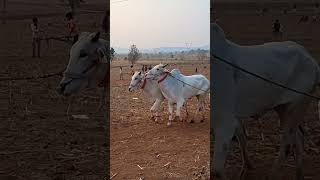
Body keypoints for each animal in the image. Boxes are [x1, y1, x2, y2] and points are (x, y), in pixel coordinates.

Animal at [210, 22, 320, 180]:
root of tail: (310, 59)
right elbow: (242, 137)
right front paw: (247, 167)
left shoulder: (225, 122)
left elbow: (216, 170)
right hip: (284, 109)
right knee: (297, 139)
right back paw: (299, 174)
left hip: (296, 106)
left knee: (287, 144)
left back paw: (273, 174)